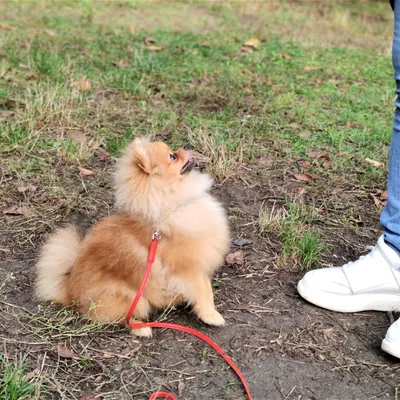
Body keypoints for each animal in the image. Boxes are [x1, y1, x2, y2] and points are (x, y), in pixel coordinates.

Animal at [36, 136, 230, 336]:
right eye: (172, 157)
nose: (186, 145)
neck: (171, 206)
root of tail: (69, 292)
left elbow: (206, 287)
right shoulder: (188, 269)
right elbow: (204, 292)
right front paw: (211, 316)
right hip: (132, 297)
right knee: (124, 318)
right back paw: (142, 329)